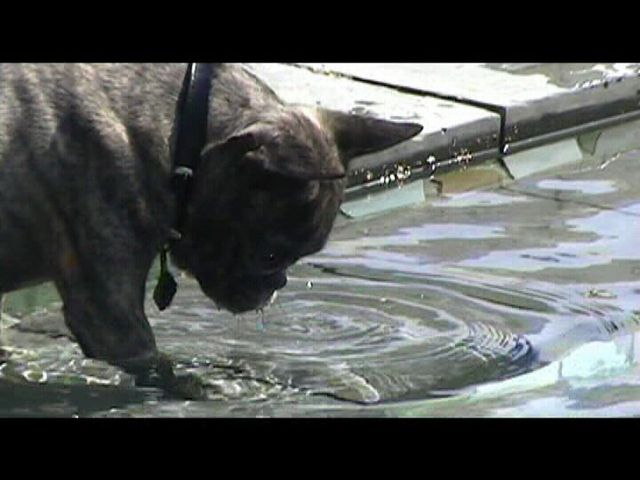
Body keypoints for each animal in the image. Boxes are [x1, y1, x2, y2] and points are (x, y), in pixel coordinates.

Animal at [0, 62, 422, 390]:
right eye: (271, 256)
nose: (279, 283)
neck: (178, 128)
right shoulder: (113, 319)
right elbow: (161, 366)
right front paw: (205, 386)